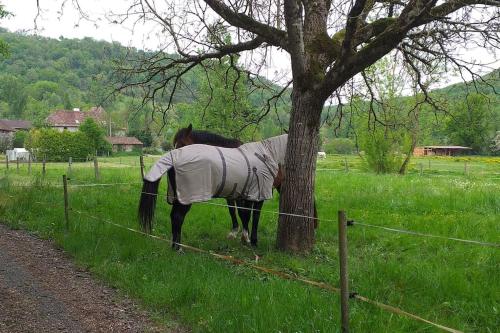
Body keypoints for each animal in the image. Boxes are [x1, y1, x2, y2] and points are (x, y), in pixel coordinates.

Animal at [141, 134, 290, 248]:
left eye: (181, 144)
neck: (266, 154)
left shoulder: (245, 194)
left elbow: (244, 213)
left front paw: (243, 236)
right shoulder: (254, 194)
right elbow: (248, 214)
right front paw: (250, 239)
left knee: (174, 216)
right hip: (186, 197)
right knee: (177, 216)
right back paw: (178, 248)